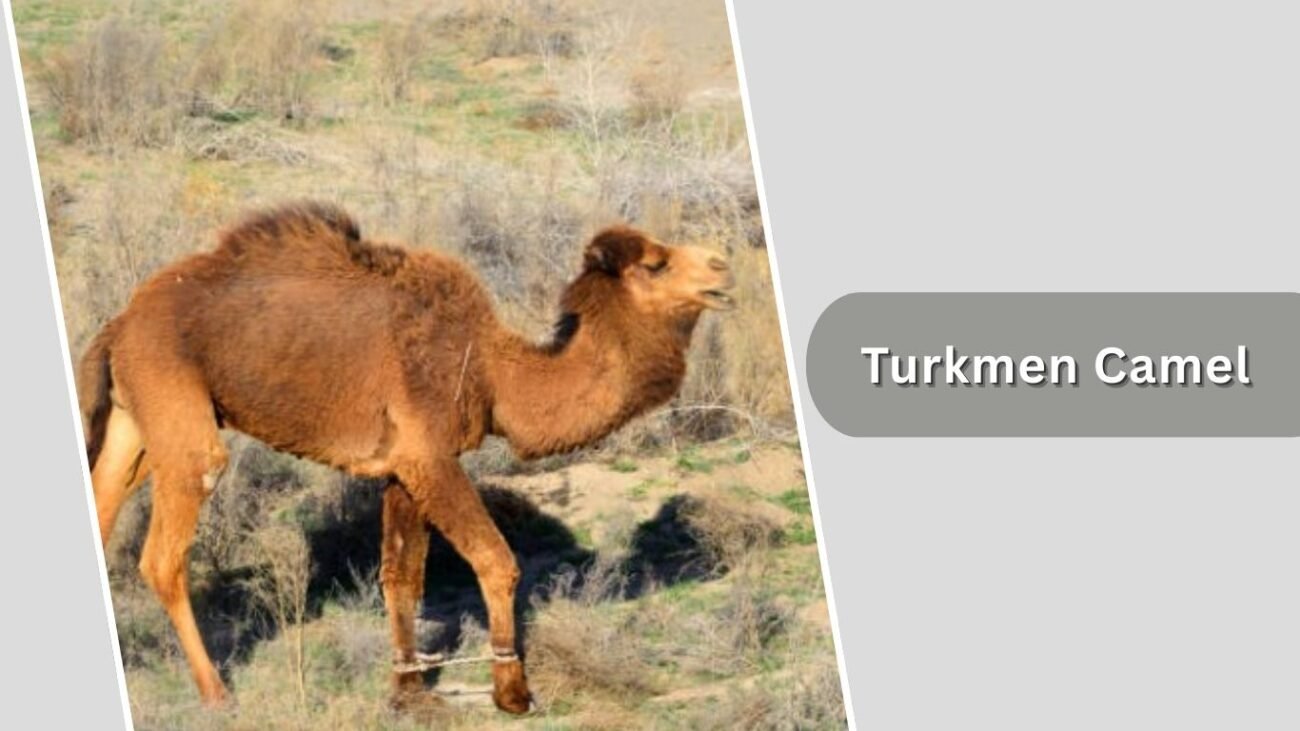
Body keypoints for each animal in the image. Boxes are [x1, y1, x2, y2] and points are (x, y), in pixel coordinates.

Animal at [77, 201, 734, 714]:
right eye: (656, 263)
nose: (722, 264)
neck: (491, 372)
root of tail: (116, 326)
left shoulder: (399, 466)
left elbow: (401, 576)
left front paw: (408, 691)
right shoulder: (430, 454)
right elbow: (496, 561)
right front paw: (512, 692)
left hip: (134, 422)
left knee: (104, 508)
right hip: (177, 408)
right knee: (164, 553)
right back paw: (216, 693)